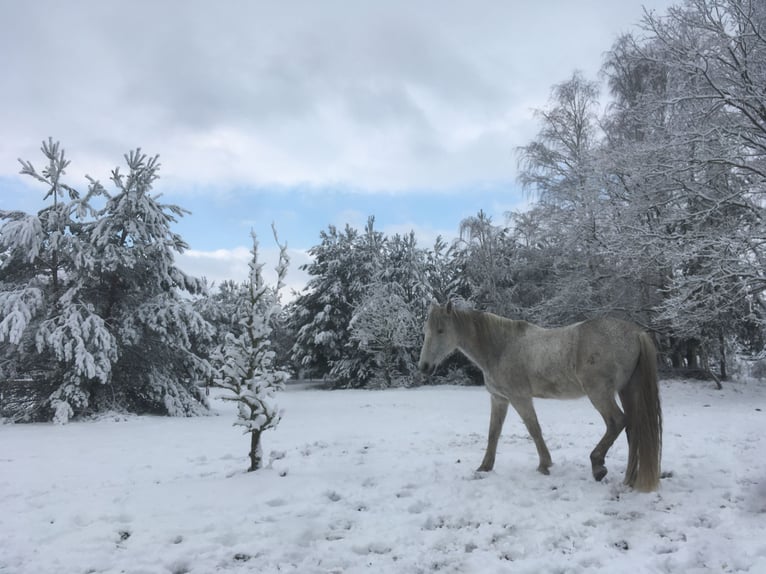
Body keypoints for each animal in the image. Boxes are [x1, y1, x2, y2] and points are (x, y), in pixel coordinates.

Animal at [416, 304, 664, 492]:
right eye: (426, 329)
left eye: (441, 330)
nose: (424, 367)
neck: (501, 347)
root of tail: (635, 333)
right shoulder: (499, 399)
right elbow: (493, 434)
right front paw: (484, 467)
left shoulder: (520, 398)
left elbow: (534, 430)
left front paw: (544, 465)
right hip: (626, 391)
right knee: (633, 429)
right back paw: (630, 479)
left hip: (600, 394)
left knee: (617, 422)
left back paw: (598, 466)